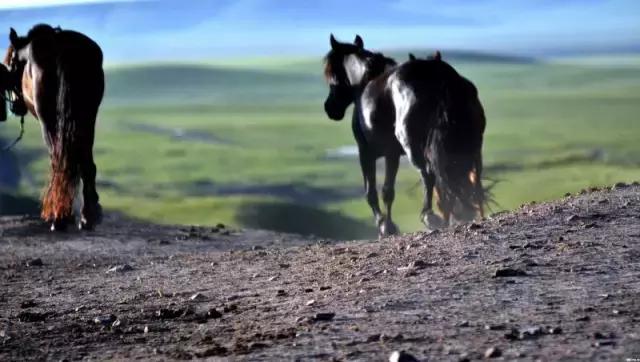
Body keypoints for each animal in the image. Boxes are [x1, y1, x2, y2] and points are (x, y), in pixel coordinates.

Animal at [3, 24, 105, 230]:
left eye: (11, 65)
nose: (15, 107)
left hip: (50, 120)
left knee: (60, 162)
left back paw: (59, 218)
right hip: (87, 119)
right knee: (86, 165)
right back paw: (87, 215)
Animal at [324, 35, 484, 236]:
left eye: (331, 73)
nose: (329, 108)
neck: (365, 80)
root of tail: (441, 76)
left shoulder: (368, 152)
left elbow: (375, 192)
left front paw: (385, 226)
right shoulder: (392, 154)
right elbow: (388, 191)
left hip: (414, 148)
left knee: (429, 175)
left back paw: (431, 216)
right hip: (469, 146)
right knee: (465, 177)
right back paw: (460, 213)